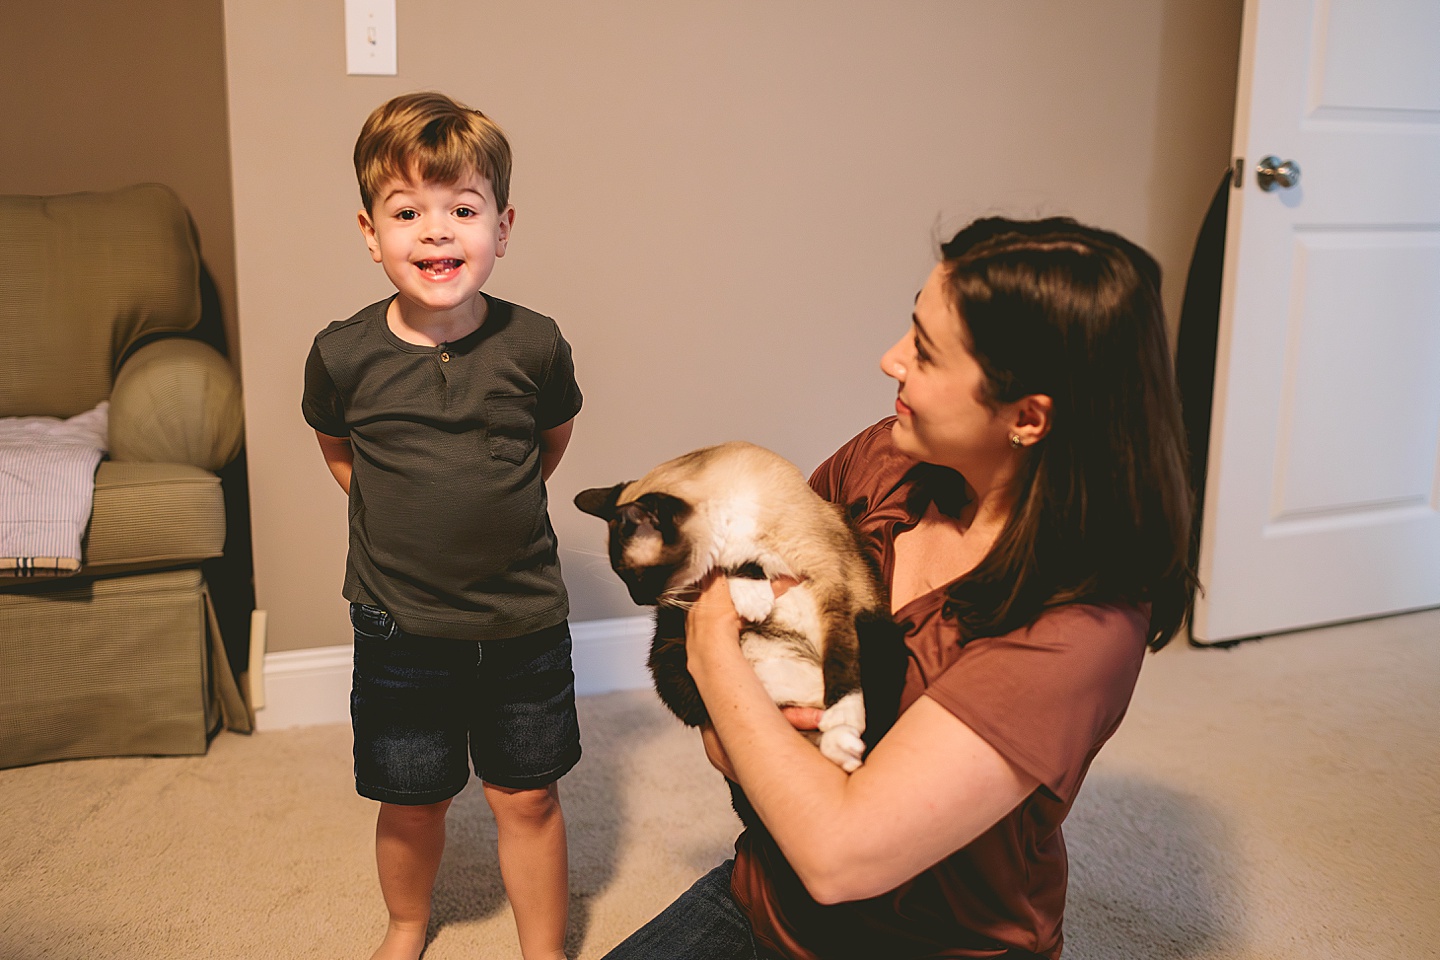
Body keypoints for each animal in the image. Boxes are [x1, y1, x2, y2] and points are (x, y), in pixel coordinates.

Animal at [576, 443, 887, 771]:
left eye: (636, 576)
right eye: (623, 577)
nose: (639, 599)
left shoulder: (834, 583)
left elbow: (841, 663)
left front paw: (844, 720)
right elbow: (738, 563)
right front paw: (754, 599)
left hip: (872, 626)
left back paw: (842, 743)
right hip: (669, 661)